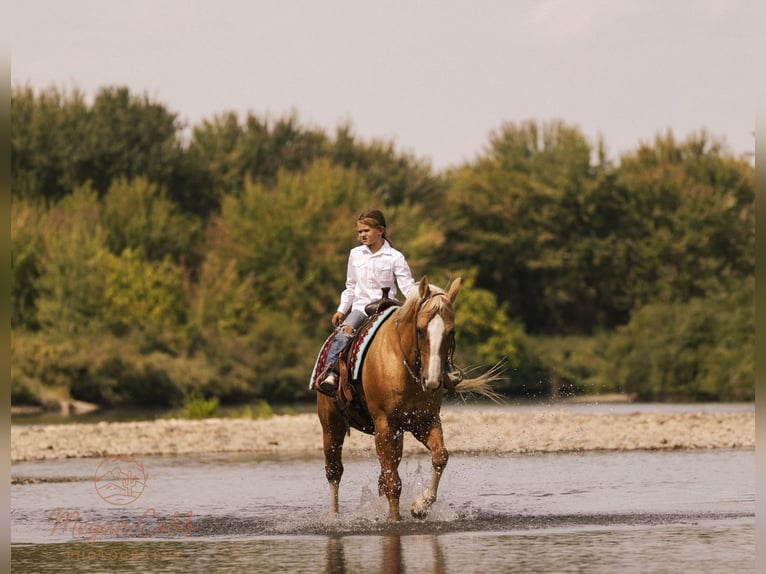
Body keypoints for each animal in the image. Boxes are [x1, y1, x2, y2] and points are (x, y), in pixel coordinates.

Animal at [316, 275, 501, 521]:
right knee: (334, 471)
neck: (402, 363)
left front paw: (420, 506)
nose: (432, 381)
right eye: (420, 330)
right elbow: (393, 482)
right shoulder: (384, 425)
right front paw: (395, 519)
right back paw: (333, 516)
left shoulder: (424, 421)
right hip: (331, 425)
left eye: (451, 332)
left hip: (397, 435)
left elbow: (440, 456)